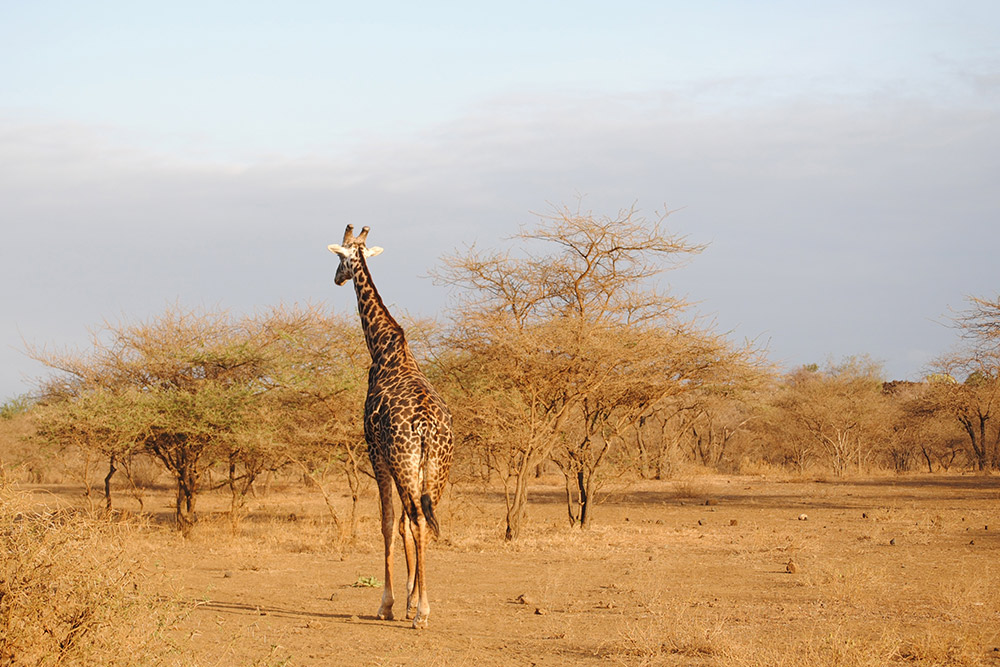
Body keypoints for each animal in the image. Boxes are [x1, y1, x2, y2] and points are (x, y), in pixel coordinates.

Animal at [328, 226, 454, 632]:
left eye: (340, 258)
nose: (336, 278)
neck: (383, 349)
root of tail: (428, 427)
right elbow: (401, 524)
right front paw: (409, 597)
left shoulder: (374, 450)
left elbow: (386, 524)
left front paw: (389, 603)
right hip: (436, 469)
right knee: (423, 520)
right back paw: (421, 607)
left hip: (404, 461)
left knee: (414, 519)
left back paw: (421, 613)